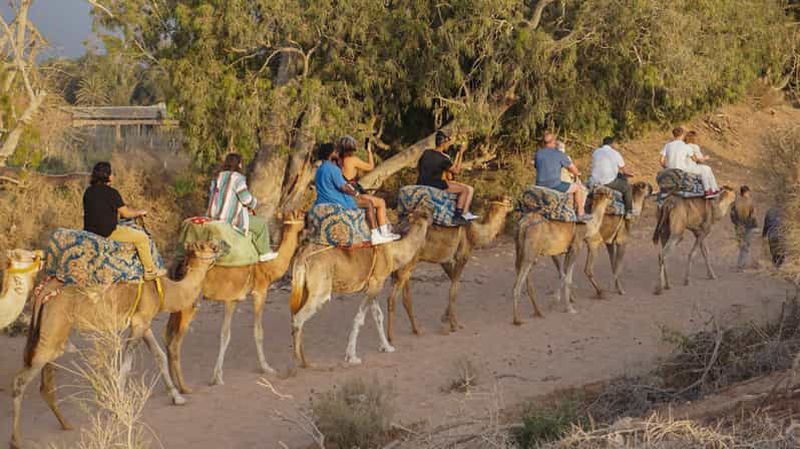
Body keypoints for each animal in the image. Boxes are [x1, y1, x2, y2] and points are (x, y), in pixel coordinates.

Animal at [10, 241, 220, 449]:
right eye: (203, 246)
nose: (217, 247)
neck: (165, 290)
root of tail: (43, 292)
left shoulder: (143, 324)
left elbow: (159, 355)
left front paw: (177, 397)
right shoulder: (139, 323)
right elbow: (126, 367)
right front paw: (118, 408)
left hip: (49, 333)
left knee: (45, 381)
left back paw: (66, 424)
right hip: (54, 327)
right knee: (20, 380)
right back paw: (16, 440)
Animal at [164, 212, 305, 391]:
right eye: (302, 215)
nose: (305, 226)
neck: (269, 267)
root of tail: (181, 264)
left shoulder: (232, 299)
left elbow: (225, 334)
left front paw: (217, 377)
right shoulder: (260, 291)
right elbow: (258, 332)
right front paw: (267, 368)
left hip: (176, 303)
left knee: (167, 336)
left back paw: (173, 385)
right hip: (189, 304)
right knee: (175, 343)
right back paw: (184, 388)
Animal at [289, 209, 432, 368]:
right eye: (426, 214)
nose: (432, 215)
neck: (394, 252)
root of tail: (303, 255)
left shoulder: (372, 286)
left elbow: (378, 316)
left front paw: (387, 347)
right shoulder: (377, 282)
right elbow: (359, 318)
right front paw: (352, 357)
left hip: (302, 287)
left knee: (296, 315)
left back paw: (301, 358)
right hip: (320, 289)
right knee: (299, 318)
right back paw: (303, 361)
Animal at [386, 197, 513, 342]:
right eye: (507, 200)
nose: (513, 204)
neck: (475, 233)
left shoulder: (445, 261)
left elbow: (455, 284)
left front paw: (446, 317)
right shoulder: (462, 257)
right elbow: (453, 289)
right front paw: (454, 325)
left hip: (407, 265)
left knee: (406, 298)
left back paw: (417, 330)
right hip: (407, 263)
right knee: (392, 298)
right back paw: (390, 337)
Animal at [512, 187, 614, 324]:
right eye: (610, 192)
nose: (614, 198)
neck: (588, 225)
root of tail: (523, 224)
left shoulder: (563, 251)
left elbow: (563, 273)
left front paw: (562, 300)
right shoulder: (576, 247)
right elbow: (568, 276)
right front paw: (569, 307)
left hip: (520, 249)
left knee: (525, 278)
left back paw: (538, 312)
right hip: (530, 253)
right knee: (518, 284)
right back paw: (517, 319)